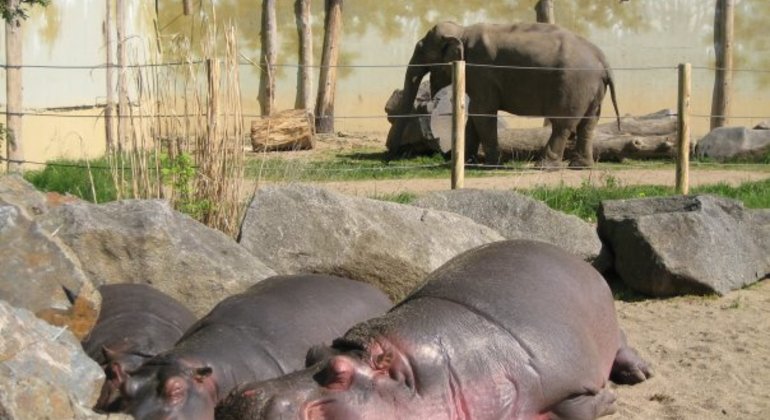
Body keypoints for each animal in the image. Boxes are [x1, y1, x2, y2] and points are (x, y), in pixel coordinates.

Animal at [216, 240, 648, 420]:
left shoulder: (560, 375)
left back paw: (639, 373)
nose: (244, 397)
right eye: (311, 352)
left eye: (339, 374)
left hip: (610, 324)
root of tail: (567, 255)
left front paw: (609, 400)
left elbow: (575, 407)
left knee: (625, 344)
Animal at [384, 20, 616, 169]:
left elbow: (482, 112)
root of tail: (603, 60)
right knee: (588, 124)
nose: (388, 159)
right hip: (592, 90)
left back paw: (545, 165)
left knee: (563, 125)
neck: (462, 31)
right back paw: (581, 166)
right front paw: (466, 163)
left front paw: (490, 164)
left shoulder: (481, 70)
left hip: (574, 84)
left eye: (421, 50)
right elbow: (473, 115)